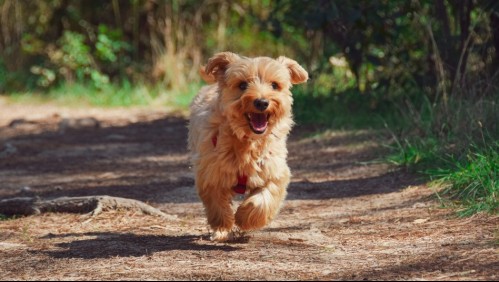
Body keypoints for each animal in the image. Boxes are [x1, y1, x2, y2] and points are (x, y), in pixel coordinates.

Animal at [188, 51, 308, 241]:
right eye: (242, 85)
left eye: (274, 85)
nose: (262, 102)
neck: (248, 142)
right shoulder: (210, 172)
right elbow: (217, 203)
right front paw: (223, 225)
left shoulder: (274, 171)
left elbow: (263, 199)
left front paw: (244, 218)